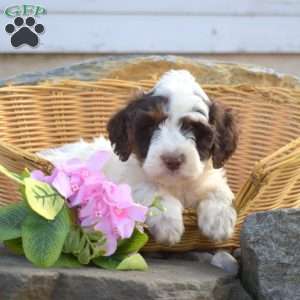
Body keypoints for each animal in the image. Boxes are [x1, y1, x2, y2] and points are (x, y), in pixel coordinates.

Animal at [38, 70, 239, 246]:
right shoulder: (129, 185)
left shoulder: (206, 178)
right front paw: (168, 224)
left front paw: (219, 222)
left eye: (196, 130)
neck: (175, 185)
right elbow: (153, 190)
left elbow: (219, 190)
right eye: (150, 127)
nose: (172, 160)